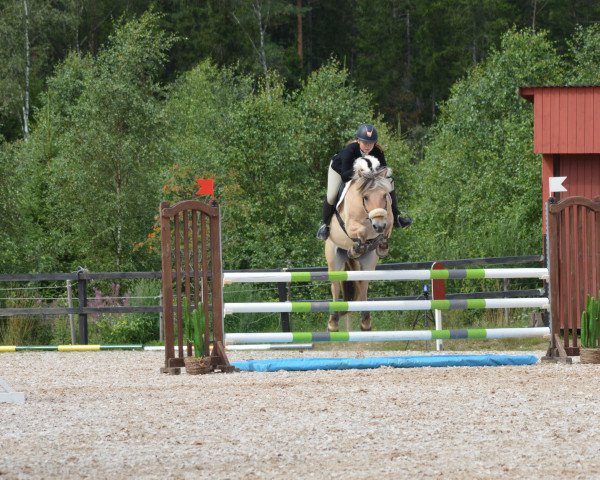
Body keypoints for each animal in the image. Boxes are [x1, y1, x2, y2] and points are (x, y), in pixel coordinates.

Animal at [324, 156, 394, 332]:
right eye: (366, 197)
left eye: (385, 196)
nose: (378, 226)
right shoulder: (350, 225)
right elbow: (360, 231)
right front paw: (356, 248)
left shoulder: (388, 219)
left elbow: (388, 227)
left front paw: (382, 245)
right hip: (333, 258)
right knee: (335, 286)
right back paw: (333, 323)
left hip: (368, 262)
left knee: (363, 284)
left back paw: (365, 321)